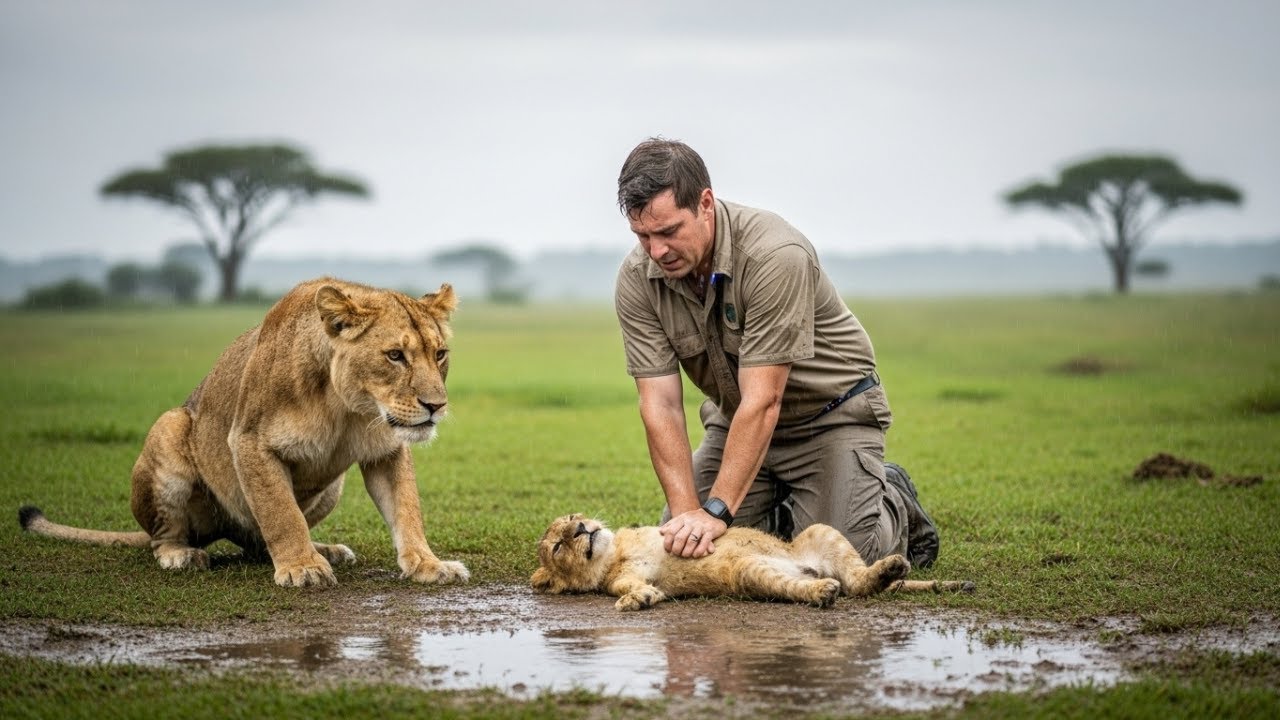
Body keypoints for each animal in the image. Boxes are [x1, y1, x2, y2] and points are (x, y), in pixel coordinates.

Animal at [18, 277, 468, 588]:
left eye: (439, 353)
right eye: (394, 355)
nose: (436, 406)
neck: (348, 408)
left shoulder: (387, 451)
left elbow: (407, 510)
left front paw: (428, 564)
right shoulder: (250, 441)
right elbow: (280, 513)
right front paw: (302, 568)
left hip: (331, 489)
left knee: (257, 542)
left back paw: (324, 549)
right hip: (170, 427)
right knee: (166, 536)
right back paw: (181, 555)